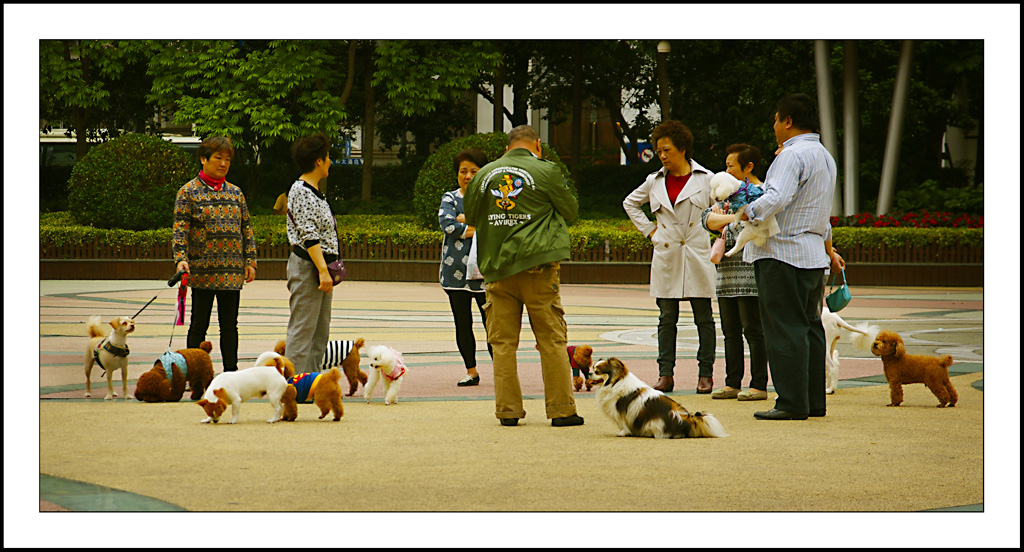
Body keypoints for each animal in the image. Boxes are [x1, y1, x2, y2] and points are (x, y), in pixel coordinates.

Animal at [593, 358, 729, 440]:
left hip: (654, 422)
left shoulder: (621, 413)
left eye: (597, 371)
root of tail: (688, 419)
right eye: (592, 368)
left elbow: (623, 425)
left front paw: (622, 433)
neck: (615, 382)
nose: (589, 372)